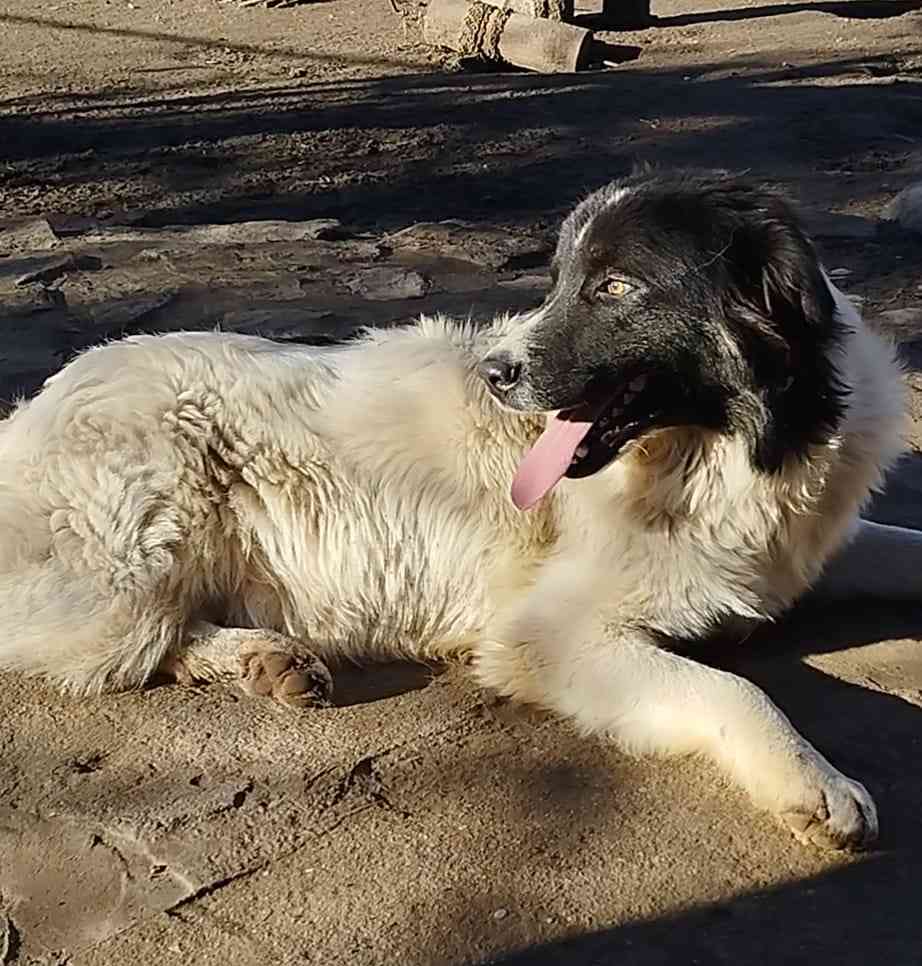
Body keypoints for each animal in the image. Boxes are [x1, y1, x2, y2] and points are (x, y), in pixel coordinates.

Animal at [0, 170, 908, 852]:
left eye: (614, 287)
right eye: (559, 282)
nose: (492, 373)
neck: (719, 457)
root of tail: (31, 410)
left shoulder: (806, 546)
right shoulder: (551, 636)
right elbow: (731, 690)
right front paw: (814, 782)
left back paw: (269, 661)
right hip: (138, 556)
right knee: (117, 643)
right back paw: (259, 656)